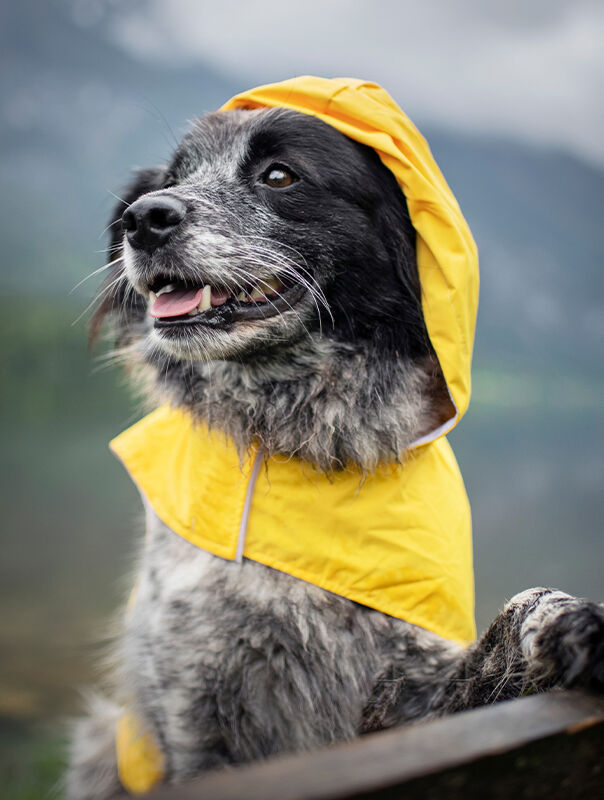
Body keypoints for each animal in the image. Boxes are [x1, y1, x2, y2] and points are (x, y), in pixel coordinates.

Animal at [66, 76, 604, 800]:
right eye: (173, 178)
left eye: (279, 175)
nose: (144, 218)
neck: (292, 442)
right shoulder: (193, 714)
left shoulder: (407, 699)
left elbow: (514, 619)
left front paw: (573, 623)